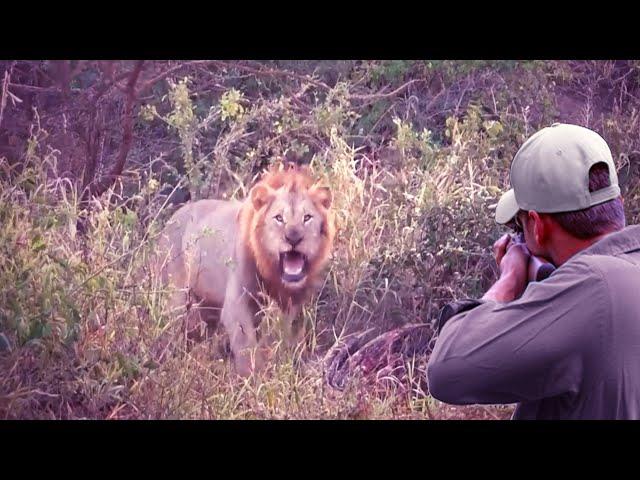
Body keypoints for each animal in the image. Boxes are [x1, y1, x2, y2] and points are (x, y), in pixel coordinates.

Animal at [155, 163, 336, 376]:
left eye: (307, 218)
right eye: (279, 218)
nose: (293, 237)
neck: (273, 273)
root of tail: (172, 218)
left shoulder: (288, 305)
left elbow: (277, 338)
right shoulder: (236, 304)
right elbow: (247, 349)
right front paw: (254, 378)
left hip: (207, 303)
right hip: (175, 297)